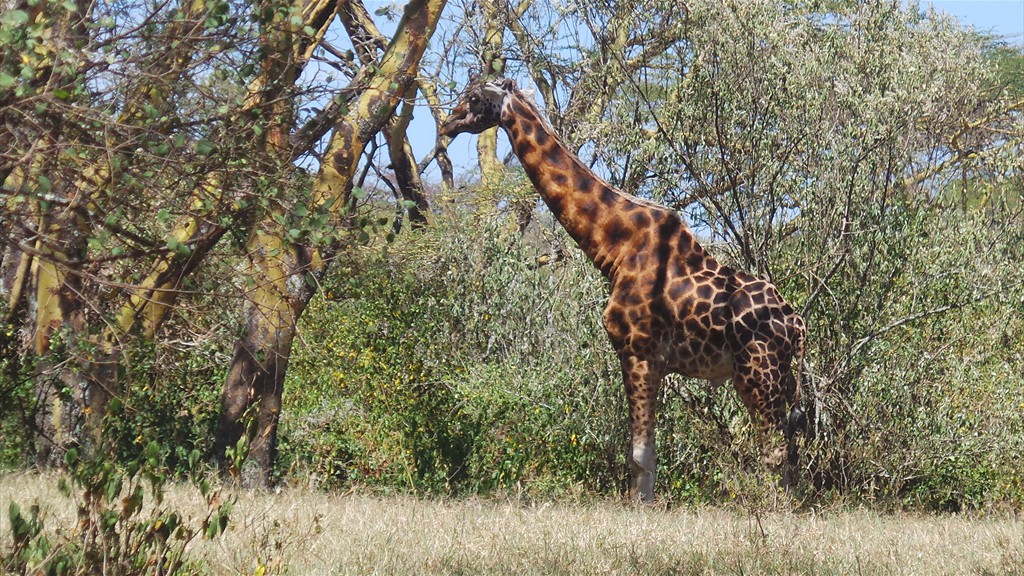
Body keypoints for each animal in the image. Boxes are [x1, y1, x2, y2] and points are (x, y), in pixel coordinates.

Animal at [440, 77, 806, 502]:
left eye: (474, 98)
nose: (446, 125)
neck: (616, 247)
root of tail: (796, 324)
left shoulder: (638, 351)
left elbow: (639, 454)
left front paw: (640, 508)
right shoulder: (652, 360)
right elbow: (646, 451)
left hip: (757, 374)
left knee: (774, 449)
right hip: (780, 379)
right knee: (788, 446)